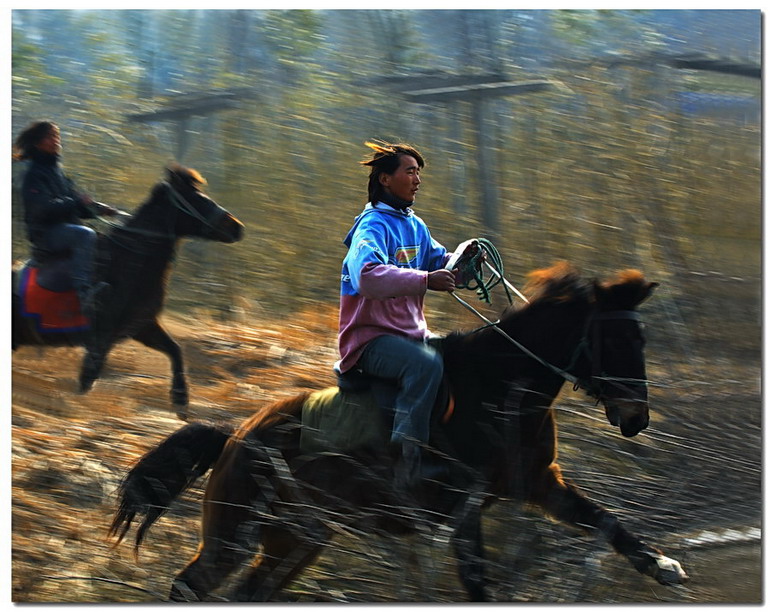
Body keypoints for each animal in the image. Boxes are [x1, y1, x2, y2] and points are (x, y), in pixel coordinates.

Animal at [13, 164, 244, 412]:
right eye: (198, 199)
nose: (237, 227)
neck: (127, 262)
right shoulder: (101, 339)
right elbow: (87, 380)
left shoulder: (142, 327)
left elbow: (175, 350)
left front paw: (180, 400)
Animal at [111, 260, 688, 600]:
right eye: (618, 341)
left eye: (640, 340)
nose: (637, 419)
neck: (499, 387)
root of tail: (234, 436)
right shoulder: (467, 511)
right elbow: (477, 583)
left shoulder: (540, 484)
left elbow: (606, 523)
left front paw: (664, 565)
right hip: (235, 535)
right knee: (190, 586)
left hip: (294, 540)